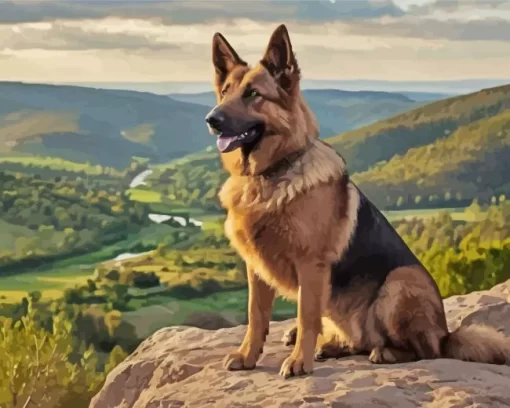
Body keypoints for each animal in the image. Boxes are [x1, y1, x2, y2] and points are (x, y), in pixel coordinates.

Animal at [204, 23, 510, 378]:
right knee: (359, 341)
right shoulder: (256, 269)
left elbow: (306, 318)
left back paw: (386, 353)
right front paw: (248, 356)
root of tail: (447, 333)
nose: (212, 120)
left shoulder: (311, 267)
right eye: (225, 92)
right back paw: (333, 347)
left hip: (399, 282)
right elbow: (256, 317)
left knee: (427, 351)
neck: (270, 175)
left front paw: (298, 361)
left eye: (253, 94)